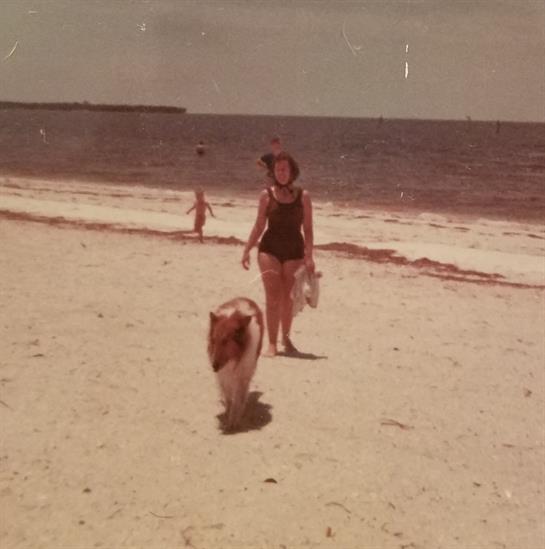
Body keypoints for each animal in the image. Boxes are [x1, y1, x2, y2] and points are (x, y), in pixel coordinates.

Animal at [208, 297, 264, 431]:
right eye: (214, 340)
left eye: (225, 341)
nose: (214, 366)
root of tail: (246, 298)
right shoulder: (223, 377)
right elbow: (228, 399)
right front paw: (227, 418)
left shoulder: (241, 378)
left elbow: (237, 401)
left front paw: (233, 422)